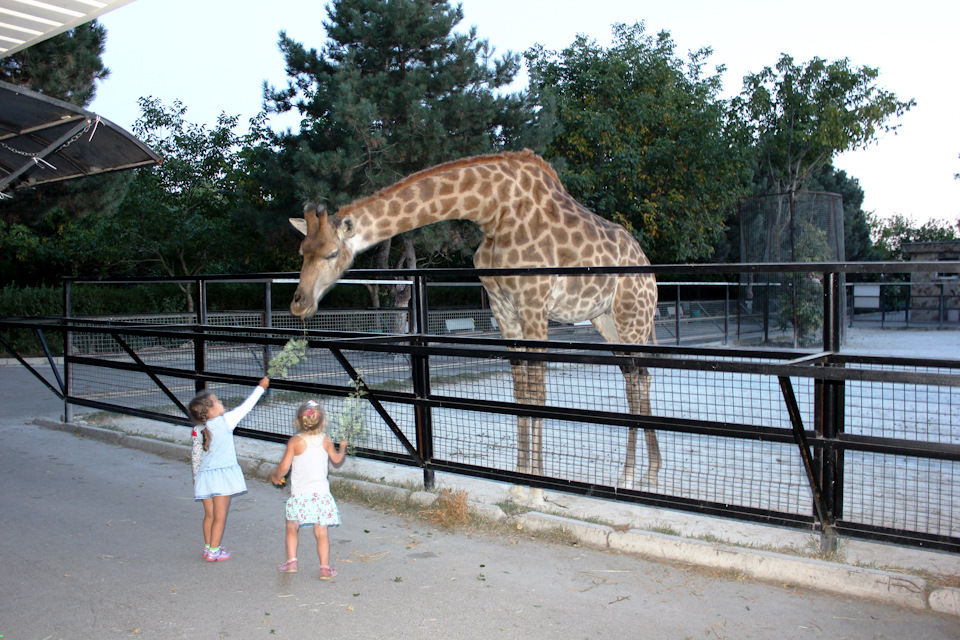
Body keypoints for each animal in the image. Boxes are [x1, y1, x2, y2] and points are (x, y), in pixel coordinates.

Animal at [284, 150, 660, 504]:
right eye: (302, 250)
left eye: (332, 253)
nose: (298, 303)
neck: (494, 211)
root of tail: (649, 267)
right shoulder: (504, 308)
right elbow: (520, 394)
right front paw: (519, 485)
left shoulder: (534, 304)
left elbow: (537, 393)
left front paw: (538, 490)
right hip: (605, 318)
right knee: (637, 378)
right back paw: (645, 473)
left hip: (632, 316)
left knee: (638, 379)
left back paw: (633, 477)